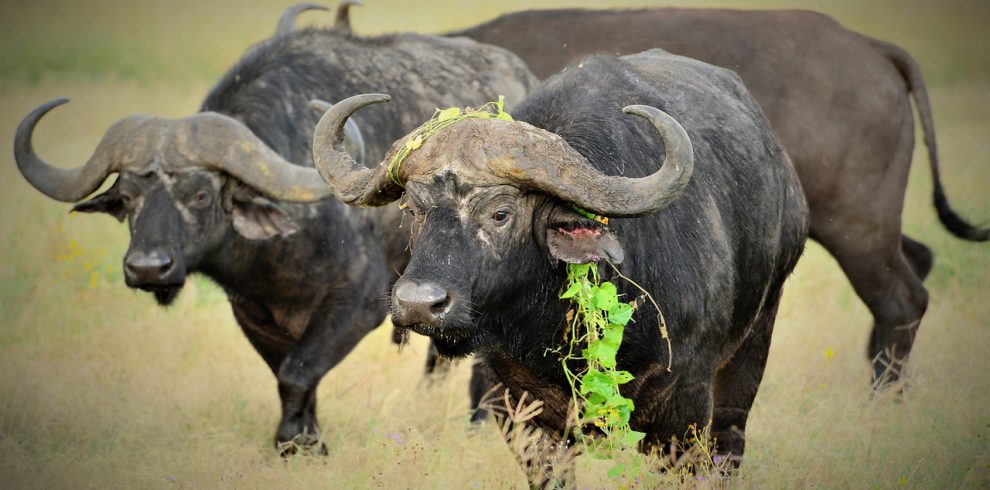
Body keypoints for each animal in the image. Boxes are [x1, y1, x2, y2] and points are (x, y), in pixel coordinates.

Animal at [9, 2, 536, 452]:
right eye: (128, 199)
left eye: (199, 194)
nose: (147, 268)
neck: (280, 251)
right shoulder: (251, 312)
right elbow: (288, 376)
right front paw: (304, 441)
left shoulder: (360, 303)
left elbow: (298, 373)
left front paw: (294, 441)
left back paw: (482, 423)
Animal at [314, 47, 808, 484]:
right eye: (413, 210)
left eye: (500, 213)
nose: (419, 304)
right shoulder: (519, 413)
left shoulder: (682, 411)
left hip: (755, 337)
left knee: (731, 441)